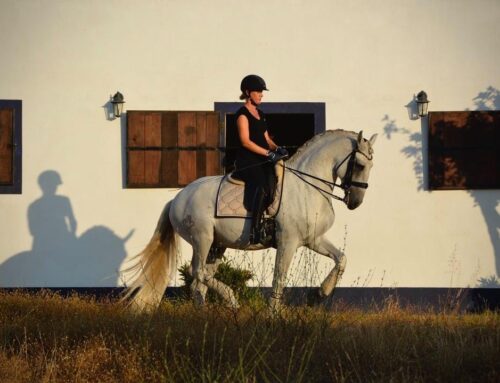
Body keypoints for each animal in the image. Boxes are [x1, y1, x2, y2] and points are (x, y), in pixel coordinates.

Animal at [124, 130, 376, 312]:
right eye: (360, 165)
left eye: (371, 166)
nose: (356, 201)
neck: (307, 187)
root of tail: (177, 198)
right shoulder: (288, 242)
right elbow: (279, 278)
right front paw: (273, 314)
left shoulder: (313, 239)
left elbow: (341, 259)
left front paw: (319, 294)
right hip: (201, 239)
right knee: (198, 273)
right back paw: (231, 300)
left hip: (217, 245)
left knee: (199, 283)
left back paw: (204, 316)